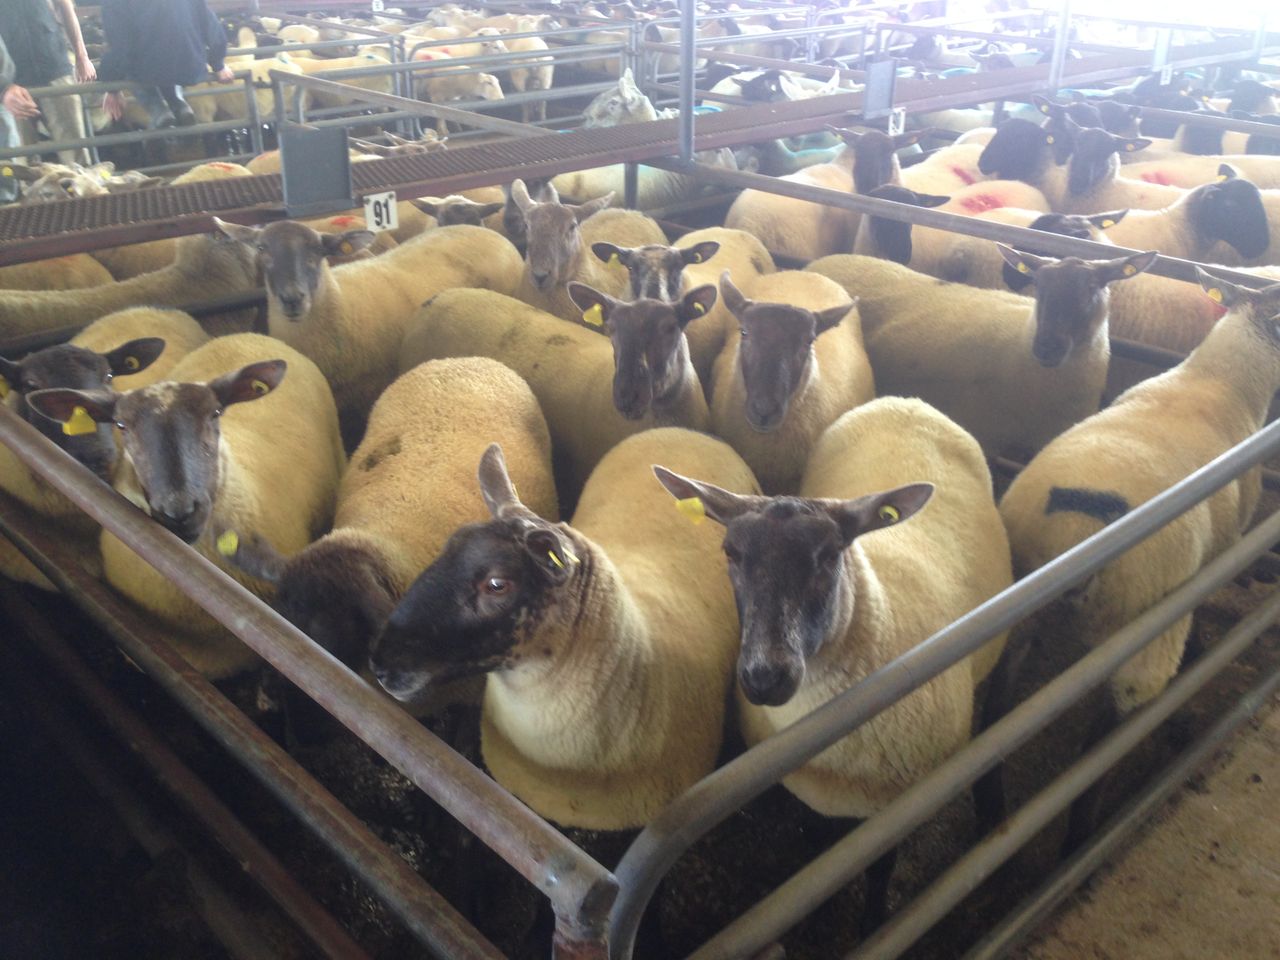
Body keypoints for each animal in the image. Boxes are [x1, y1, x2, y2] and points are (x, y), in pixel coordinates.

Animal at [211, 218, 523, 435]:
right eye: (262, 248)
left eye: (318, 251)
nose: (292, 298)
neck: (340, 304)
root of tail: (493, 234)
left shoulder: (367, 397)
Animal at [652, 395, 1012, 929]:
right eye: (730, 552)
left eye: (828, 555)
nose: (765, 677)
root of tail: (907, 401)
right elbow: (818, 845)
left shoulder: (892, 807)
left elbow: (879, 869)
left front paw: (873, 923)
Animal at [991, 269, 1280, 850]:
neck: (1220, 379)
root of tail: (1073, 526)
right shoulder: (1216, 554)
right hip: (1139, 637)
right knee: (1101, 747)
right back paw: (1081, 841)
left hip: (1016, 619)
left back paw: (993, 823)